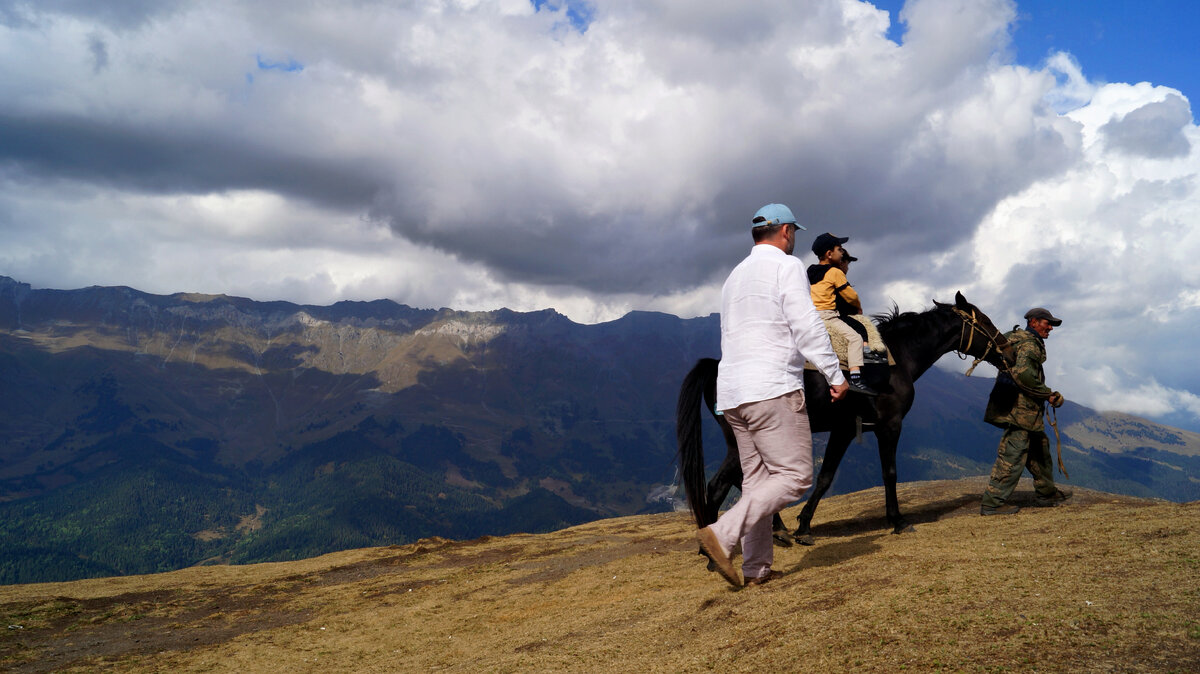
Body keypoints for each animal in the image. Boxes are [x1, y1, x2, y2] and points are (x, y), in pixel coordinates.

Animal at [676, 289, 1012, 539]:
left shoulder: (846, 430)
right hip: (739, 440)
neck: (895, 358)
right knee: (720, 486)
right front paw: (897, 520)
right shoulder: (889, 426)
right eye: (984, 321)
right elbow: (889, 473)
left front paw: (803, 526)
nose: (1007, 348)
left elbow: (825, 477)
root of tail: (717, 366)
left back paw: (773, 531)